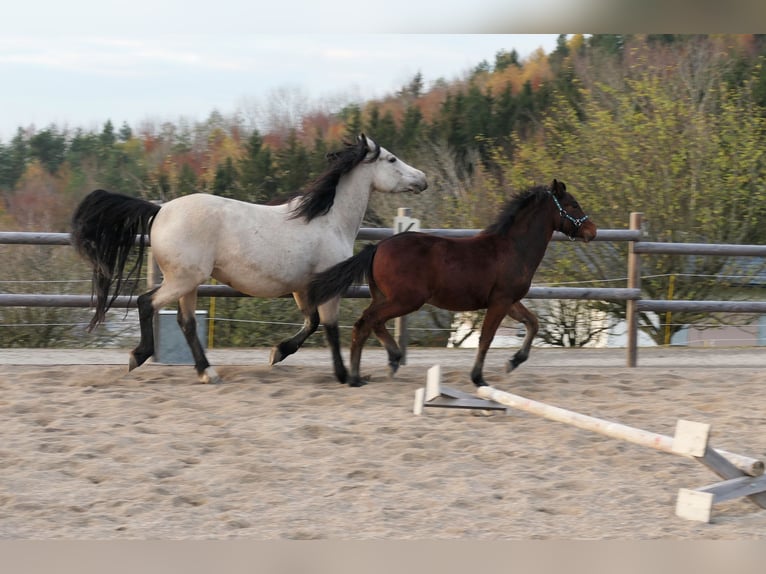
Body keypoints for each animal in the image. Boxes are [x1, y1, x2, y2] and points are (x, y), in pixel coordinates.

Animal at [71, 136, 428, 384]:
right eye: (392, 159)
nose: (423, 179)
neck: (328, 219)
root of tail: (160, 210)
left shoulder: (302, 288)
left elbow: (311, 323)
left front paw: (278, 353)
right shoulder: (329, 286)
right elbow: (328, 327)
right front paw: (343, 376)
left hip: (189, 282)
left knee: (185, 322)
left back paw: (207, 372)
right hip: (183, 279)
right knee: (147, 303)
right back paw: (140, 356)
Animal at [308, 180, 596, 388]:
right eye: (573, 205)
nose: (592, 231)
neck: (514, 248)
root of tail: (377, 247)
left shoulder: (509, 301)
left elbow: (533, 323)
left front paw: (513, 362)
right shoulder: (500, 301)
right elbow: (486, 338)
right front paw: (479, 378)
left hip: (386, 298)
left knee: (374, 323)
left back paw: (391, 361)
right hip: (406, 300)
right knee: (364, 323)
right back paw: (357, 377)